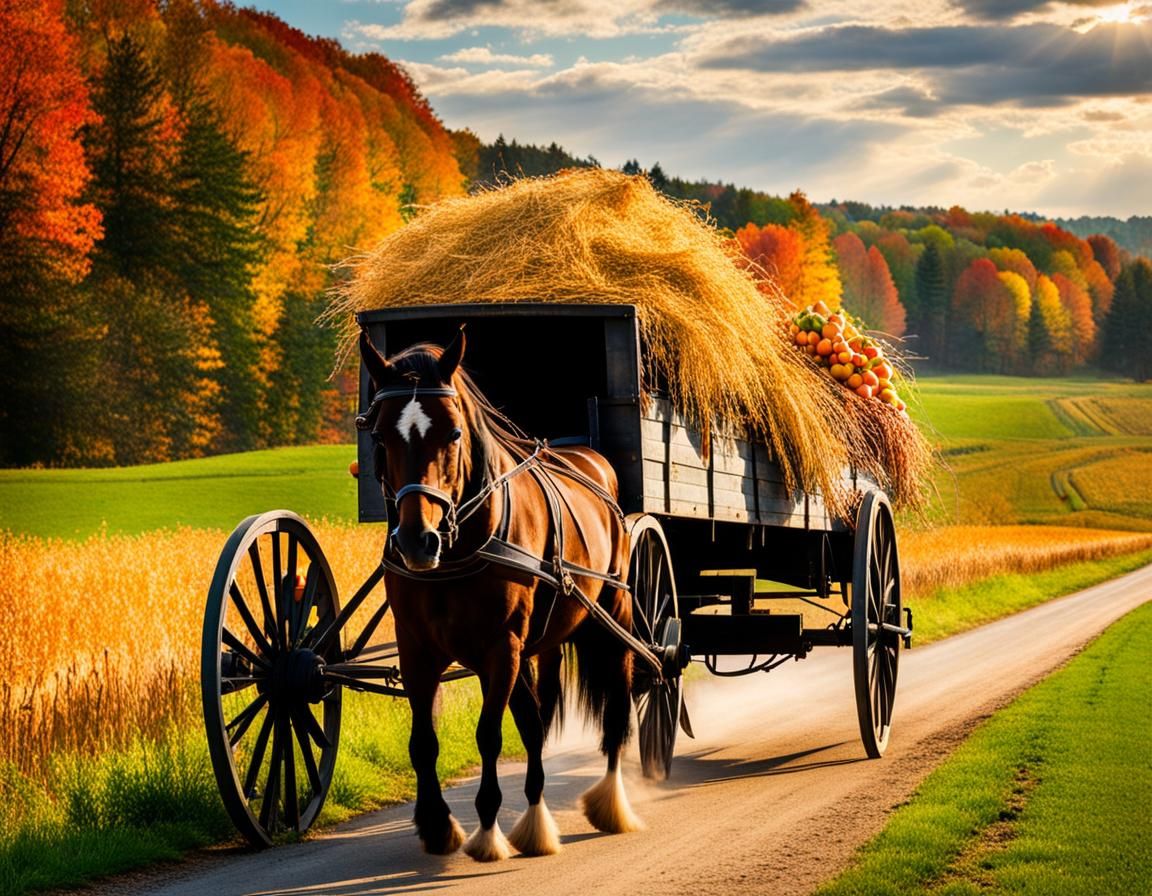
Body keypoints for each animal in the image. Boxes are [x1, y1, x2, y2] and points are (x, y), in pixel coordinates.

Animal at [356, 327, 643, 861]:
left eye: (453, 433)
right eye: (379, 435)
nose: (417, 540)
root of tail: (592, 458)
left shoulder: (501, 648)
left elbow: (489, 735)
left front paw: (488, 830)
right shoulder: (416, 649)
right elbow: (424, 741)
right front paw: (437, 824)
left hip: (613, 621)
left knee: (616, 707)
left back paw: (611, 805)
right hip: (541, 644)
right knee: (536, 720)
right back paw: (536, 812)